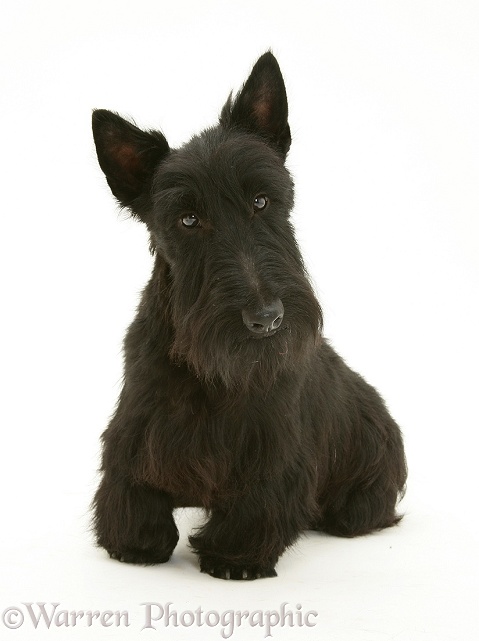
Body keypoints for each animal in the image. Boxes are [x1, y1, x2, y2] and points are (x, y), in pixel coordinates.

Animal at [92, 52, 406, 576]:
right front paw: (134, 541)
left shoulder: (273, 443)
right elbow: (131, 486)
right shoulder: (137, 426)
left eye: (261, 200)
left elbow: (260, 496)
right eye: (189, 219)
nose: (268, 318)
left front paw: (234, 555)